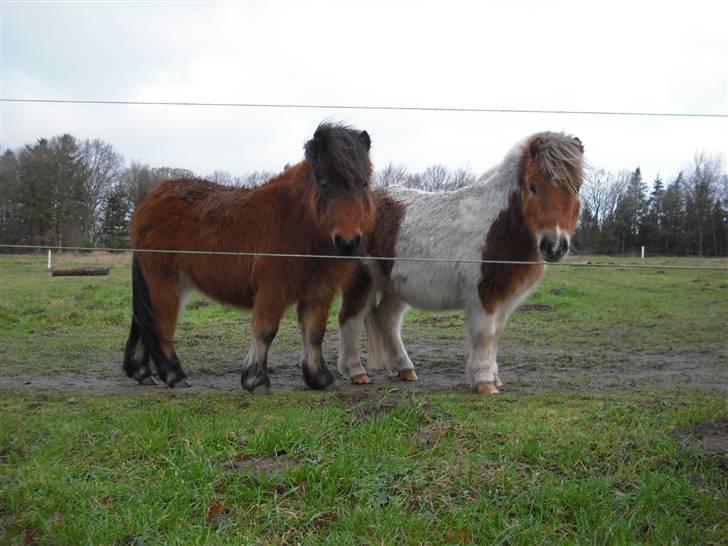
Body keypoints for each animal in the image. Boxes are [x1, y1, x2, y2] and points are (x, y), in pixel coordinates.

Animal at [123, 121, 372, 388]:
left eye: (364, 184)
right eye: (324, 184)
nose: (347, 242)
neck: (298, 221)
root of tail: (148, 201)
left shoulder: (318, 292)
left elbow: (314, 334)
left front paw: (319, 378)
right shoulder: (272, 289)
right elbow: (265, 332)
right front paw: (256, 380)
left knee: (143, 323)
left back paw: (142, 372)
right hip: (165, 283)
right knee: (159, 325)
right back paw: (174, 375)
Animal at [338, 131, 584, 392]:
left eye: (576, 188)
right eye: (533, 187)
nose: (554, 245)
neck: (498, 226)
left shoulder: (503, 298)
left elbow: (496, 334)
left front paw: (494, 377)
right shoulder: (483, 294)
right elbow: (484, 334)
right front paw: (485, 382)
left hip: (393, 287)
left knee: (387, 320)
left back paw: (405, 369)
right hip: (362, 281)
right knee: (350, 320)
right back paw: (356, 372)